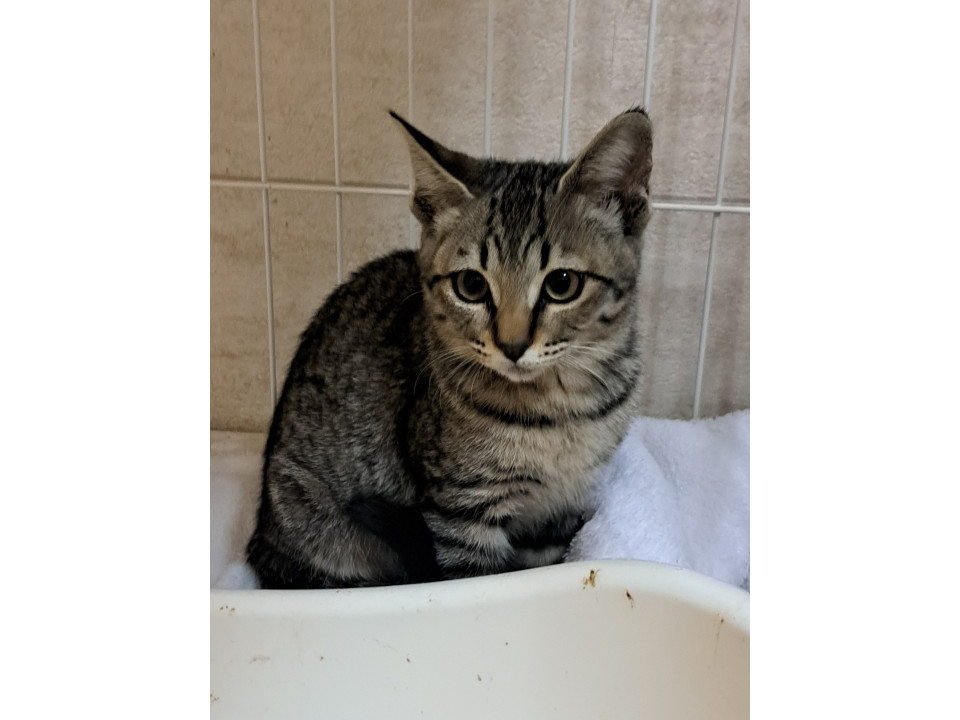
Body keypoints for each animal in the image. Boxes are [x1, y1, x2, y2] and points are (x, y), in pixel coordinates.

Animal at [246, 107, 654, 589]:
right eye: (471, 285)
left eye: (563, 284)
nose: (512, 345)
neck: (561, 411)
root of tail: (262, 536)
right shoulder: (460, 510)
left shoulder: (560, 511)